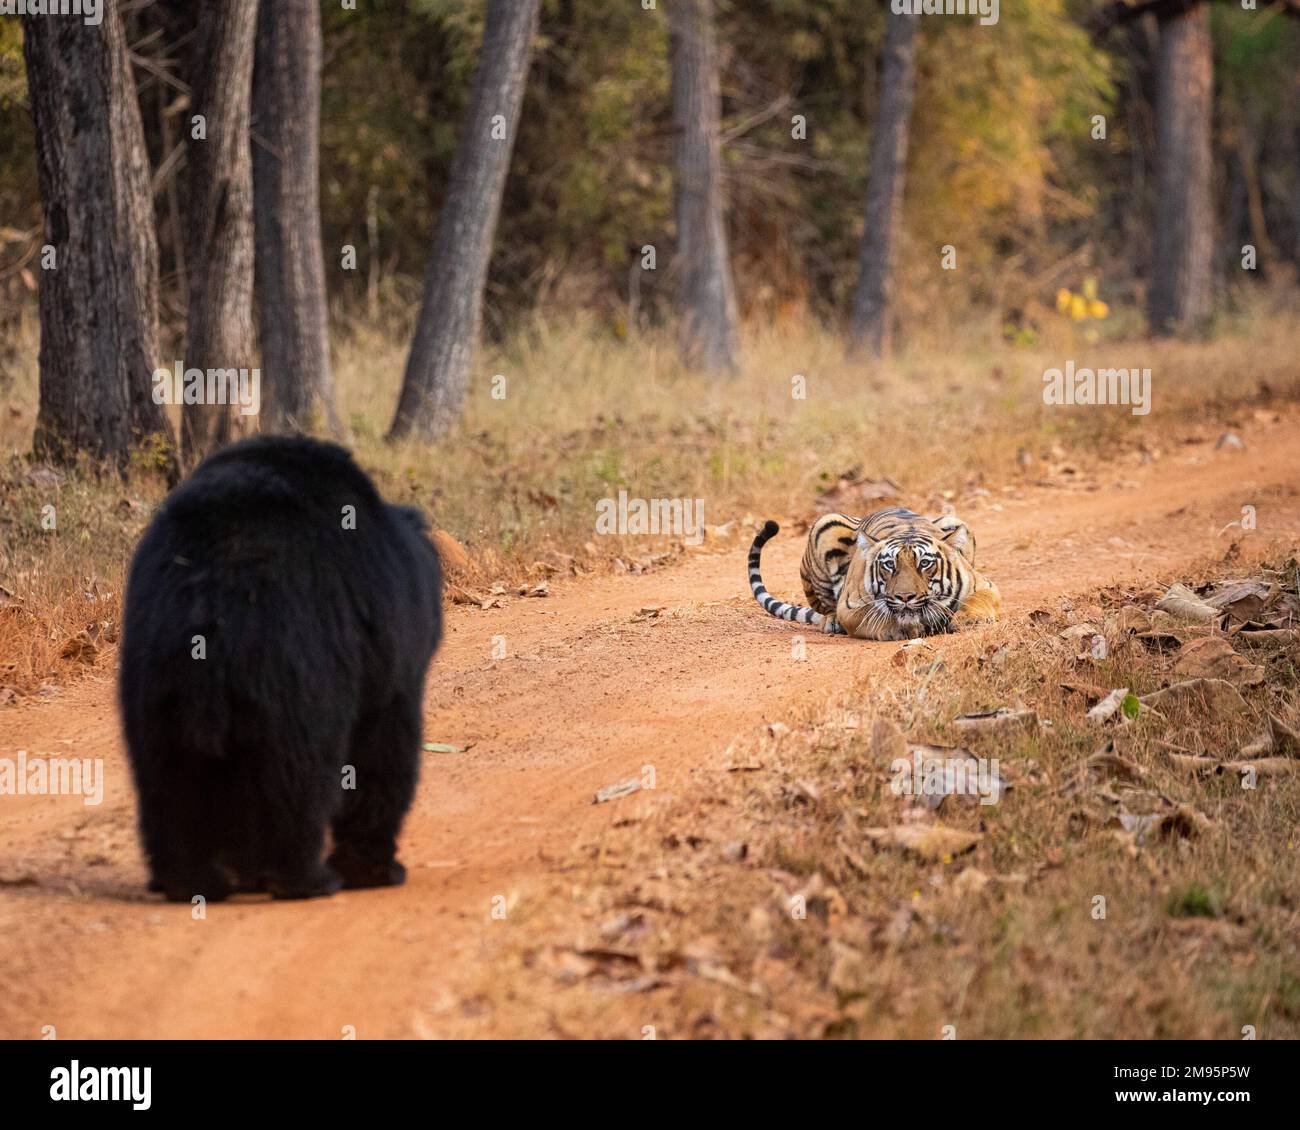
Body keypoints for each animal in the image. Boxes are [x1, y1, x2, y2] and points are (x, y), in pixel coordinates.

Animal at [747, 507, 1001, 640]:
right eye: (889, 565)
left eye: (925, 563)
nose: (905, 597)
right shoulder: (850, 606)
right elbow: (874, 617)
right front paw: (903, 629)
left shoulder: (985, 585)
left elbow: (980, 598)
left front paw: (971, 619)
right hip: (825, 525)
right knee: (825, 607)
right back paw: (832, 622)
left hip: (955, 520)